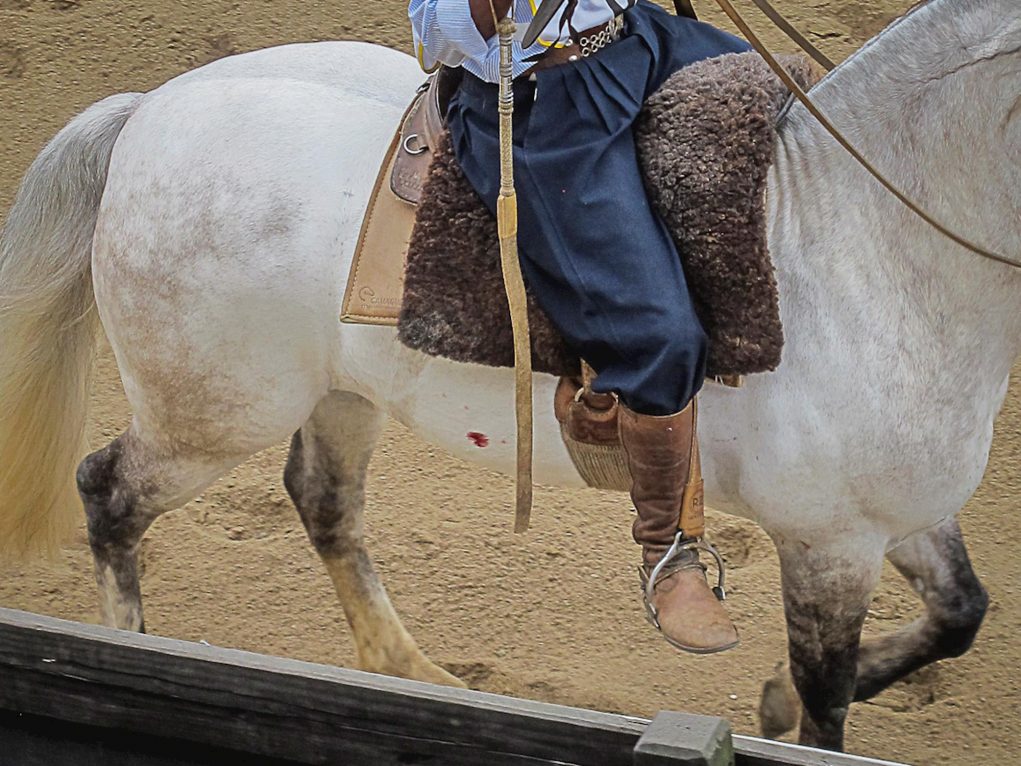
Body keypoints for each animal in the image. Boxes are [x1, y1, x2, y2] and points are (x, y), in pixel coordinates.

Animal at [0, 0, 1016, 751]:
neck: (852, 234)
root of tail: (147, 114)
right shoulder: (826, 539)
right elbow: (827, 705)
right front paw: (786, 704)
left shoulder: (897, 516)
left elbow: (959, 611)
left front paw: (768, 699)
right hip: (211, 416)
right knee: (108, 495)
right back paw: (131, 650)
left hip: (340, 395)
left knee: (324, 505)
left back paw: (415, 676)